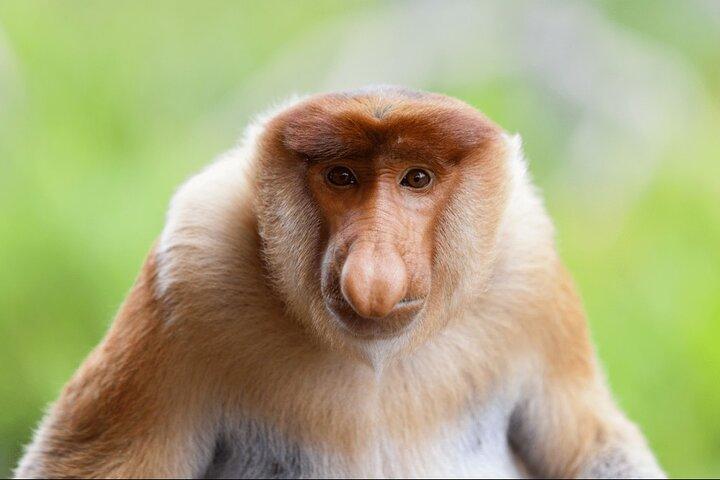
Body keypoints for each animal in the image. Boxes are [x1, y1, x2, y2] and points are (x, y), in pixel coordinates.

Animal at [15, 86, 665, 479]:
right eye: (342, 176)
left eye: (417, 177)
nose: (371, 275)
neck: (377, 358)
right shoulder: (191, 269)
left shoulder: (531, 273)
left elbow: (596, 448)